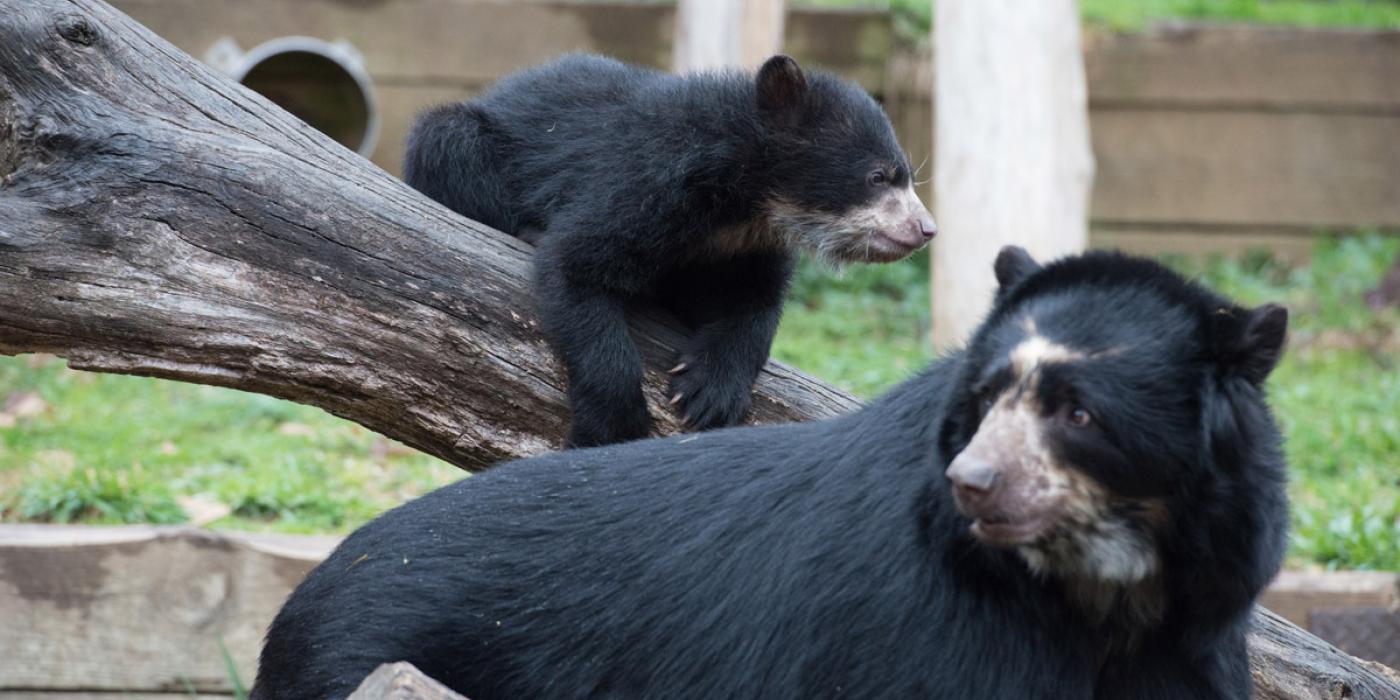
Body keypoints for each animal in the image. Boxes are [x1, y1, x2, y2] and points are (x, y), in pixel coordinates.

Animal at [254, 249, 1288, 697]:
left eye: (1077, 412)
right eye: (988, 396)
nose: (975, 483)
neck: (1096, 590)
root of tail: (307, 594)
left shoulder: (1192, 628)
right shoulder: (935, 632)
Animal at [400, 56, 935, 448]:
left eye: (906, 177)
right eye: (878, 176)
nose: (927, 230)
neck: (745, 205)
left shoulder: (744, 247)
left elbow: (755, 302)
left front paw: (707, 391)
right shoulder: (649, 187)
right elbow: (573, 262)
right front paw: (615, 422)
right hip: (463, 137)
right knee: (446, 137)